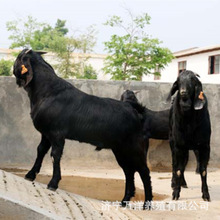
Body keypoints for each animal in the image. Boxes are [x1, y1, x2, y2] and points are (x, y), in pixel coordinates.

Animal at [12, 49, 152, 207]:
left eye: (19, 57)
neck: (48, 91)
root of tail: (136, 111)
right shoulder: (46, 133)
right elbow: (40, 150)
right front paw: (30, 175)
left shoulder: (57, 133)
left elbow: (55, 155)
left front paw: (53, 183)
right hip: (120, 150)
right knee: (129, 171)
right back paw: (124, 201)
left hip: (135, 148)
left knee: (144, 172)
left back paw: (147, 204)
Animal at [168, 70, 211, 201]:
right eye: (179, 80)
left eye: (193, 80)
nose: (183, 93)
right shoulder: (178, 146)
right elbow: (177, 169)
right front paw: (175, 193)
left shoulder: (204, 146)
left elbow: (203, 170)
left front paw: (206, 195)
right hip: (173, 143)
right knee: (175, 164)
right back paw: (174, 183)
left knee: (184, 163)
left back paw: (183, 182)